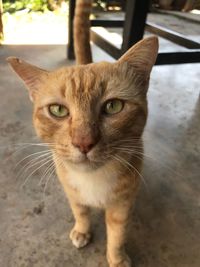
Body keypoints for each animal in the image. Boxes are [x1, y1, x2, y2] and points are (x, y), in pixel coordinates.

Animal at [7, 0, 159, 266]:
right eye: (58, 110)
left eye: (113, 106)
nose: (84, 142)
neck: (93, 180)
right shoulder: (71, 191)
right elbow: (80, 211)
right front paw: (82, 230)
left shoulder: (122, 204)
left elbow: (117, 232)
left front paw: (117, 258)